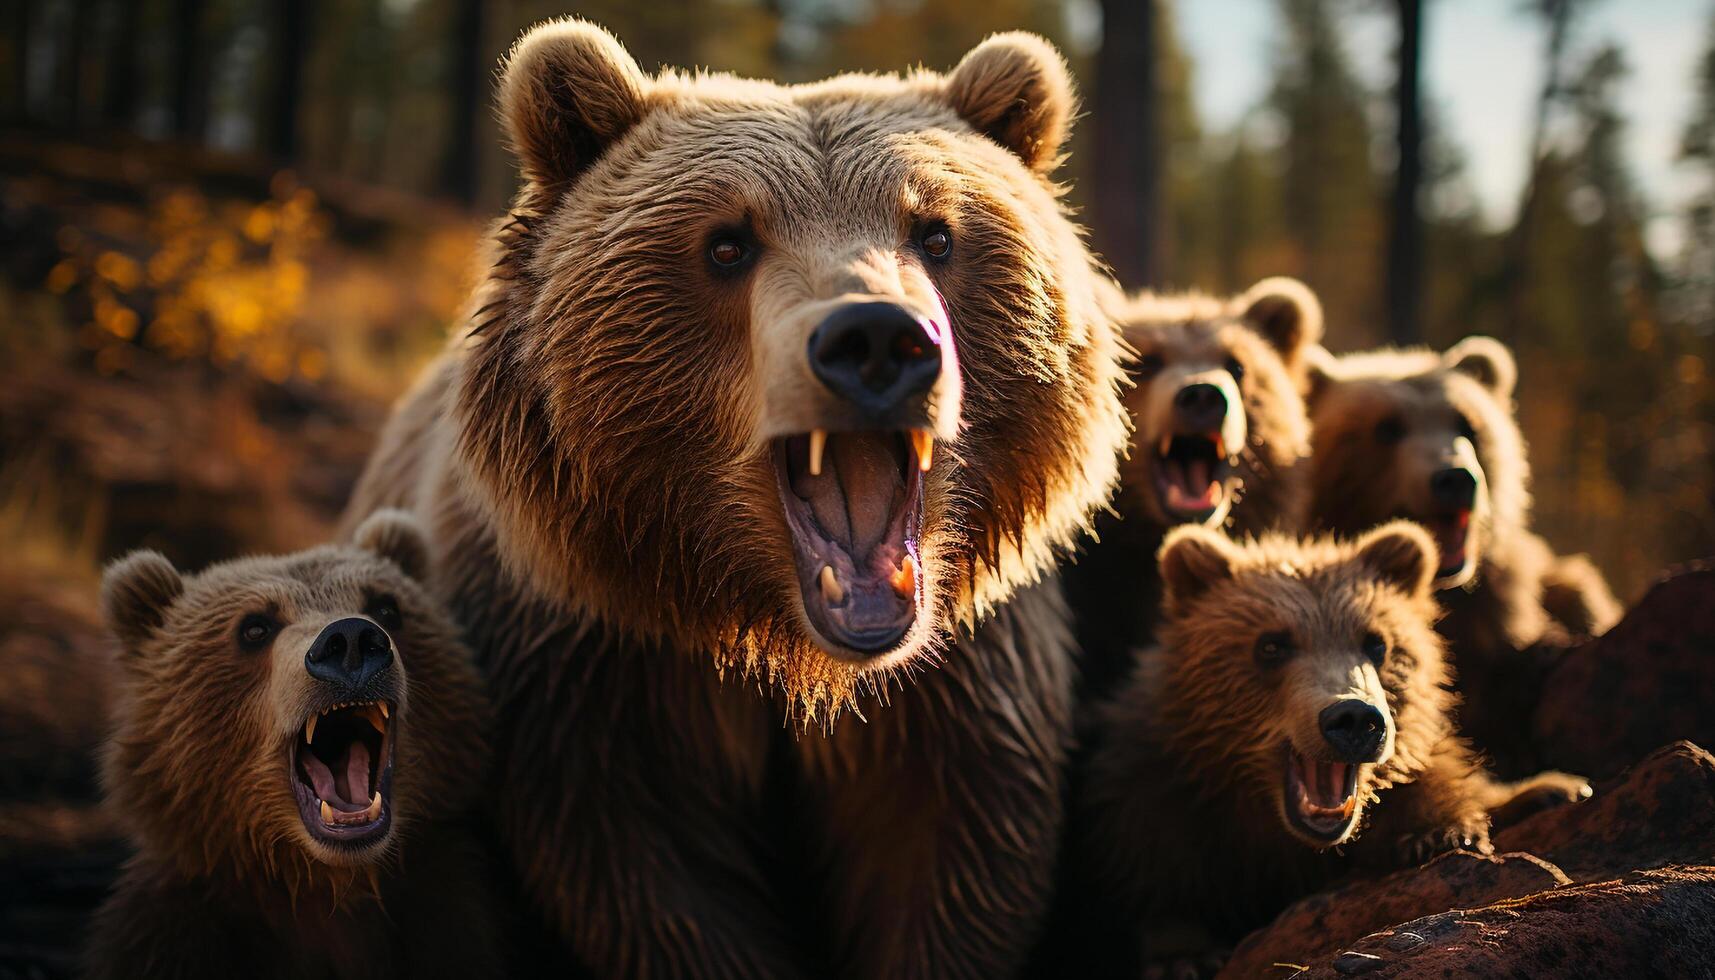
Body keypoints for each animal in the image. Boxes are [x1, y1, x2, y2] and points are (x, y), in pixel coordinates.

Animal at [86, 511, 504, 974]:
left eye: (386, 606)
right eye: (254, 627)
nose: (351, 641)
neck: (325, 880)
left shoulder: (446, 910)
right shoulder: (173, 929)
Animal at [343, 17, 1131, 980]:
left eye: (936, 233)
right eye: (728, 243)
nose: (875, 340)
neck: (778, 643)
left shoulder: (955, 691)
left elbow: (951, 864)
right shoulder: (589, 674)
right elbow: (655, 883)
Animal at [1063, 525, 1584, 974]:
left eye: (1376, 643)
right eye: (1271, 645)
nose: (1353, 718)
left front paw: (1438, 833)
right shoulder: (1155, 791)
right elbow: (1158, 868)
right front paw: (1185, 954)